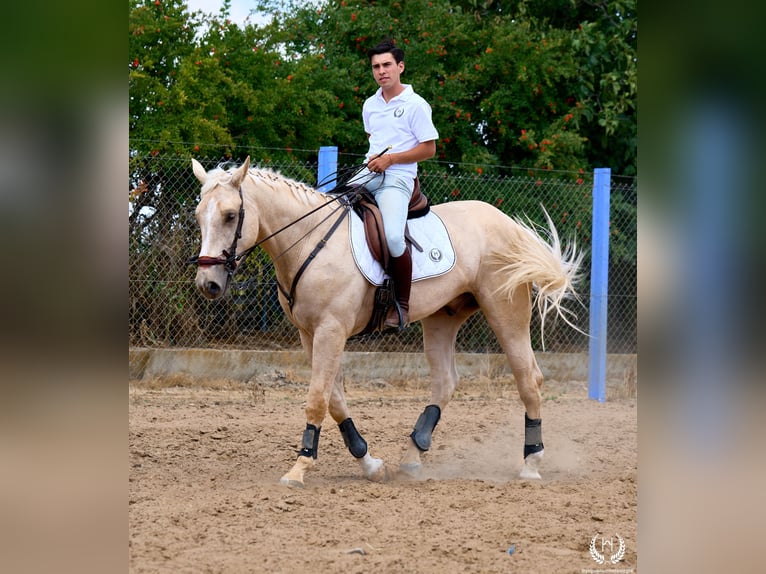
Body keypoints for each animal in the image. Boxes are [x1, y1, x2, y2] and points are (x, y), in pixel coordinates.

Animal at [190, 156, 582, 487]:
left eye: (230, 215)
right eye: (197, 215)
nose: (208, 284)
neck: (311, 242)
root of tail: (508, 224)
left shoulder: (331, 331)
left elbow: (317, 398)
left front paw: (299, 468)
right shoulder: (309, 335)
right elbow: (335, 400)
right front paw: (370, 464)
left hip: (506, 312)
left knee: (528, 378)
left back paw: (531, 463)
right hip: (443, 318)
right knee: (445, 381)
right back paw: (413, 455)